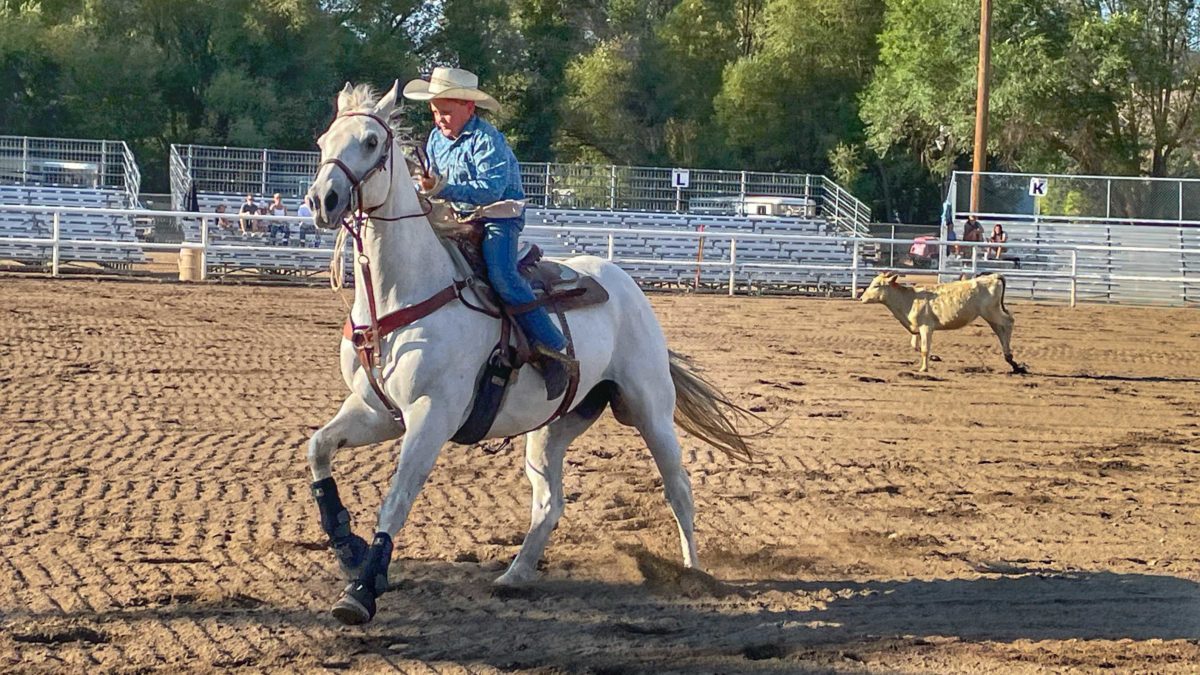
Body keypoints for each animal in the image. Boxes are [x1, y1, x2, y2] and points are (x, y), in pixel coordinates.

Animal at [304, 81, 753, 624]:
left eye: (371, 141)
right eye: (324, 140)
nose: (322, 200)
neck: (404, 294)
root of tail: (624, 282)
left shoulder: (432, 415)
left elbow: (396, 501)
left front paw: (361, 591)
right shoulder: (378, 411)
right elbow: (318, 448)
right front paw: (348, 549)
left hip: (651, 411)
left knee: (678, 488)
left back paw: (693, 573)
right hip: (552, 427)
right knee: (550, 503)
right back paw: (516, 575)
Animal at [859, 269, 1027, 369]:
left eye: (877, 285)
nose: (861, 298)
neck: (909, 298)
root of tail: (992, 276)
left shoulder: (926, 327)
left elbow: (924, 349)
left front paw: (924, 369)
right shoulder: (916, 328)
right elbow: (916, 346)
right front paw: (934, 357)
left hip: (991, 312)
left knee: (1008, 322)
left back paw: (1011, 358)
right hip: (990, 314)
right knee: (1000, 329)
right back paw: (1010, 359)